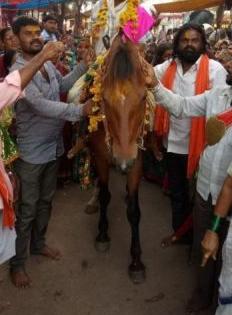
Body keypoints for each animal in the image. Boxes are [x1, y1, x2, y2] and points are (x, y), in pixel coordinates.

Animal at [87, 35, 154, 286]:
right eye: (104, 99)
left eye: (143, 97)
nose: (123, 162)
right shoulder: (101, 157)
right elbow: (106, 196)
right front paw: (102, 234)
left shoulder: (138, 161)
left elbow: (134, 211)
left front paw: (136, 261)